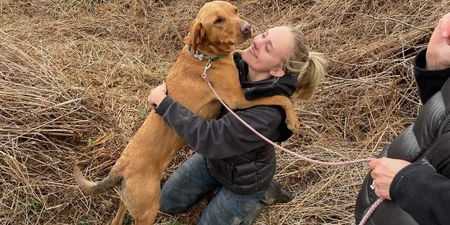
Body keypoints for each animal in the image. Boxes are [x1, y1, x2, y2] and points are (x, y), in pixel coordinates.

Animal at [74, 0, 302, 224]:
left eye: (235, 10)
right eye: (218, 21)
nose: (248, 28)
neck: (205, 58)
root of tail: (120, 168)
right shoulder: (237, 100)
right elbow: (279, 98)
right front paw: (293, 120)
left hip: (131, 202)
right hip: (148, 210)